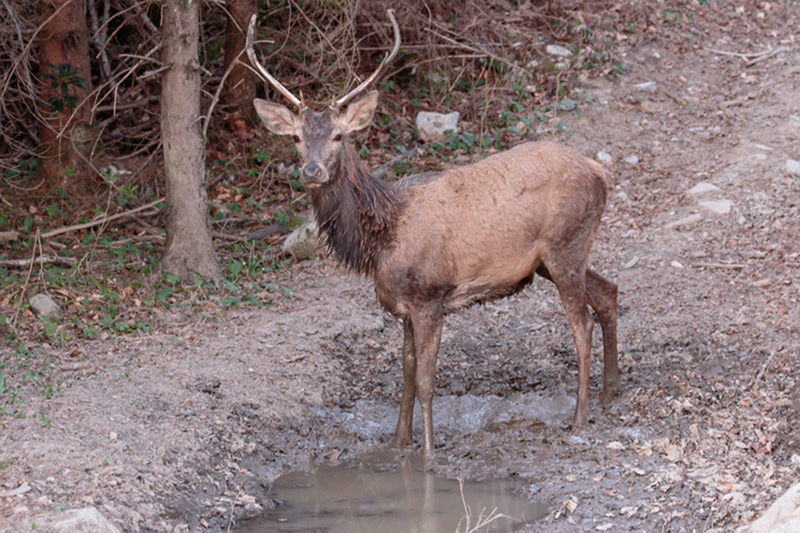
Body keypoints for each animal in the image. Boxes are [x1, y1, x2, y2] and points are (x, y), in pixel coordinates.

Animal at [244, 10, 620, 456]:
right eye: (297, 137)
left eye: (339, 135)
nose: (312, 170)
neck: (382, 238)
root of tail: (599, 172)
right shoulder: (402, 307)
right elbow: (405, 377)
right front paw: (397, 443)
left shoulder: (430, 296)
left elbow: (424, 382)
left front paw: (426, 453)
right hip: (553, 256)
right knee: (608, 292)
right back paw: (609, 392)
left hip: (565, 244)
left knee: (582, 325)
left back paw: (579, 417)